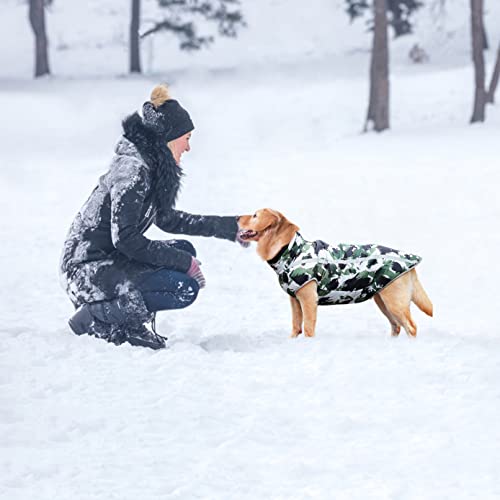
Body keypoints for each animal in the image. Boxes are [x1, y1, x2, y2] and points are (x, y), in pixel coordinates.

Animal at [236, 207, 432, 340]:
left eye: (255, 215)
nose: (236, 217)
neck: (290, 250)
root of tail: (410, 260)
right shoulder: (295, 299)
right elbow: (296, 326)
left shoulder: (308, 299)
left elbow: (308, 328)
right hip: (382, 299)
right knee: (397, 326)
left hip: (394, 300)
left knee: (411, 326)